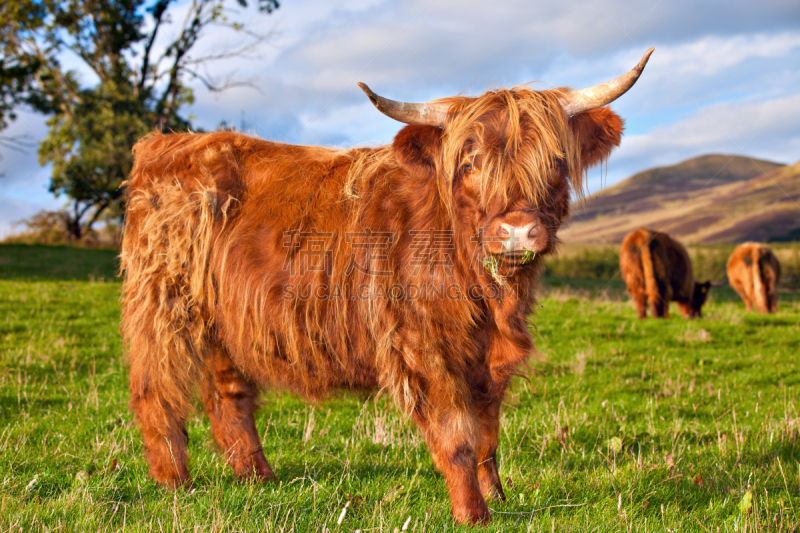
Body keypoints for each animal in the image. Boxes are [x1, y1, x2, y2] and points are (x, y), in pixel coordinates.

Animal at [122, 47, 652, 520]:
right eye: (470, 164)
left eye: (556, 162)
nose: (517, 230)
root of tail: (165, 144)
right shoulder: (422, 345)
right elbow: (457, 435)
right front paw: (472, 513)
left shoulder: (489, 357)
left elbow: (487, 433)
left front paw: (498, 497)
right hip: (163, 307)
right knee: (157, 391)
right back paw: (174, 482)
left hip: (221, 323)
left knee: (227, 394)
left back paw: (258, 477)